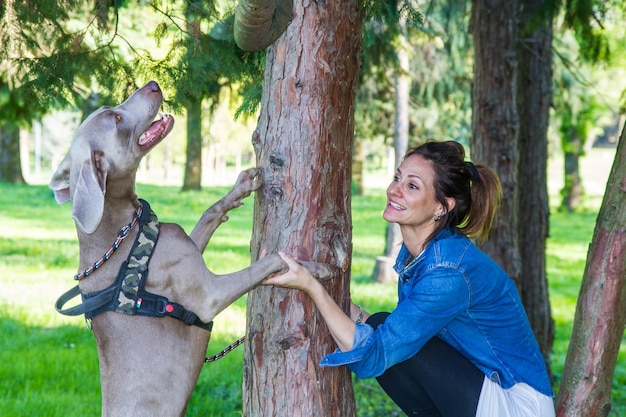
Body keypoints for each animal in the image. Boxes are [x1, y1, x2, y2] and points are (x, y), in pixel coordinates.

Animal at [48, 81, 288, 416]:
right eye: (115, 118)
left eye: (110, 110)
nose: (152, 84)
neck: (124, 232)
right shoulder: (208, 296)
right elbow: (266, 264)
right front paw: (311, 268)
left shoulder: (188, 247)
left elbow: (209, 213)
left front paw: (237, 191)